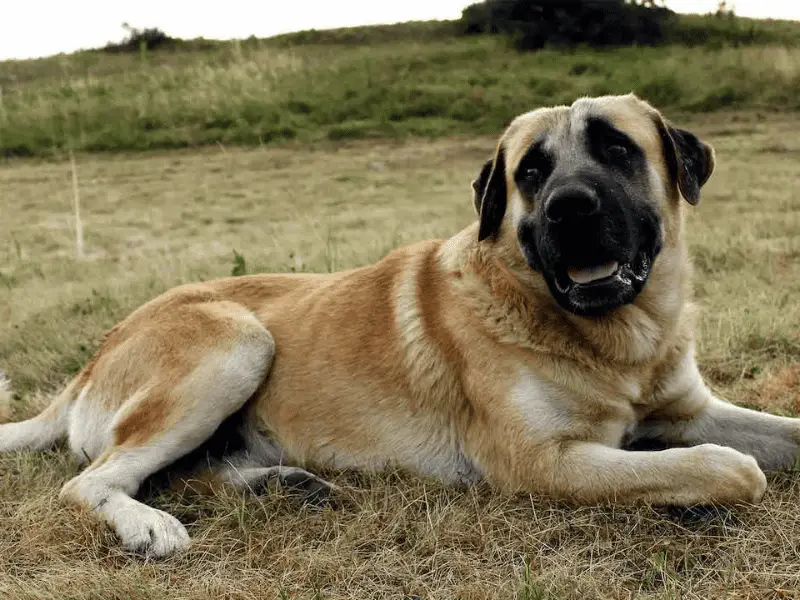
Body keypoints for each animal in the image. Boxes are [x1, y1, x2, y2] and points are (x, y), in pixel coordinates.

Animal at [1, 94, 800, 556]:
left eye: (616, 148)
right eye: (530, 172)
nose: (568, 208)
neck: (617, 344)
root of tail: (92, 359)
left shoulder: (688, 408)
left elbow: (773, 436)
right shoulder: (542, 462)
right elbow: (730, 467)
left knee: (177, 473)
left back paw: (276, 485)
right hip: (238, 342)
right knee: (92, 483)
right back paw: (149, 526)